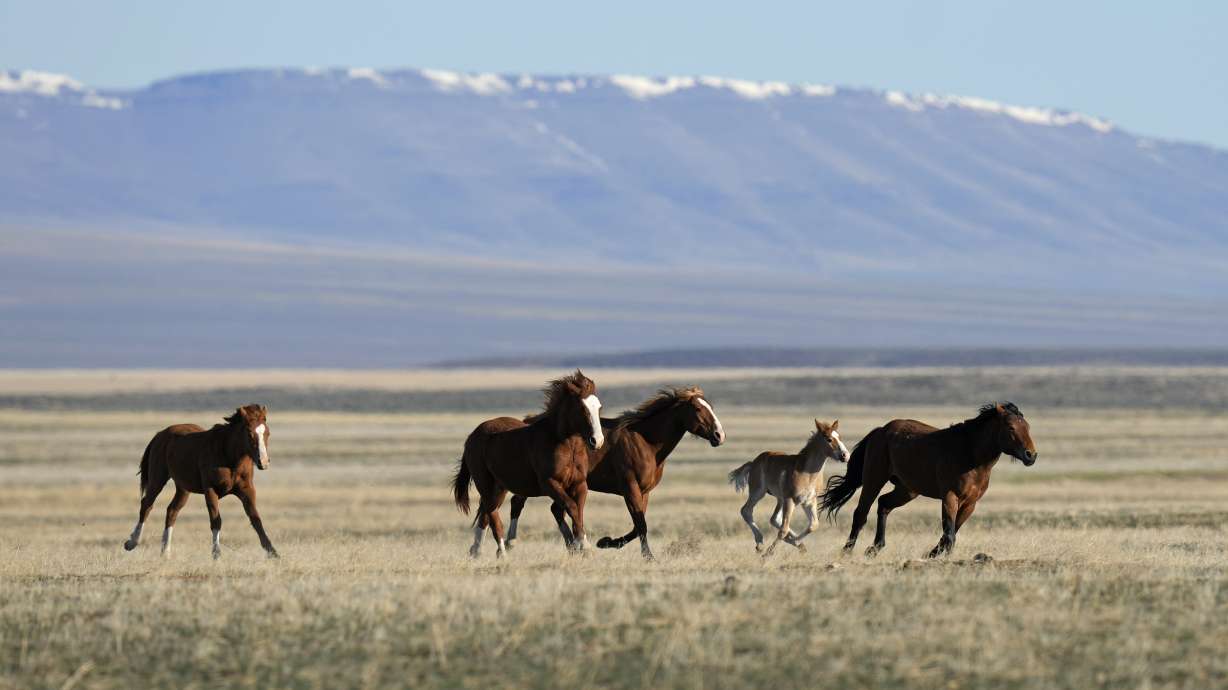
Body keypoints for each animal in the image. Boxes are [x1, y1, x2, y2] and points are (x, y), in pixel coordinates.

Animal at [122, 404, 278, 559]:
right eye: (249, 433)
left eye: (267, 433)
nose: (264, 462)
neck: (228, 456)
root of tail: (160, 435)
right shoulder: (210, 490)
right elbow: (216, 520)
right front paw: (216, 554)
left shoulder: (247, 490)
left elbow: (256, 519)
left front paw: (273, 552)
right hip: (157, 479)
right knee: (146, 505)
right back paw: (132, 543)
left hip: (183, 489)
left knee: (172, 511)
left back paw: (165, 552)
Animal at [451, 370, 604, 558]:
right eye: (582, 408)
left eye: (598, 407)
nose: (597, 441)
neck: (566, 446)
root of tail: (472, 436)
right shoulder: (550, 483)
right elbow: (571, 507)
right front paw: (582, 545)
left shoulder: (579, 484)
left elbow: (578, 510)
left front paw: (581, 544)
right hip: (486, 485)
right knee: (493, 517)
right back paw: (502, 554)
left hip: (499, 488)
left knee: (485, 515)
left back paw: (477, 552)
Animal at [505, 386, 725, 560]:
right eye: (698, 409)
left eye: (711, 407)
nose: (719, 435)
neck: (646, 442)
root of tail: (527, 422)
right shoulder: (630, 488)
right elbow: (641, 525)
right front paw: (647, 556)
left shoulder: (644, 492)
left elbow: (638, 525)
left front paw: (607, 542)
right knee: (519, 503)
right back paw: (510, 543)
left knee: (555, 509)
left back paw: (571, 546)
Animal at [728, 419, 849, 556]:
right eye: (829, 439)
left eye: (839, 437)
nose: (845, 455)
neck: (806, 473)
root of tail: (753, 462)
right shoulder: (790, 500)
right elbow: (784, 530)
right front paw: (768, 554)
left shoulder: (809, 501)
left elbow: (813, 525)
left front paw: (798, 542)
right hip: (759, 492)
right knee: (746, 511)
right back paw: (760, 543)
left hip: (780, 499)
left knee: (774, 519)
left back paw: (794, 543)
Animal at [820, 402, 1037, 558]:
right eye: (1011, 427)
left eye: (1027, 426)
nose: (1031, 455)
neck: (970, 454)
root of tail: (880, 431)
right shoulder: (950, 497)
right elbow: (949, 534)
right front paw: (936, 555)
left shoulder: (970, 504)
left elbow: (952, 533)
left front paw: (932, 554)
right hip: (874, 479)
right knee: (861, 513)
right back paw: (847, 551)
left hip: (907, 490)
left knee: (884, 504)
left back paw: (874, 548)